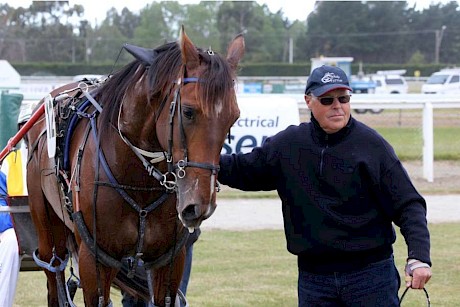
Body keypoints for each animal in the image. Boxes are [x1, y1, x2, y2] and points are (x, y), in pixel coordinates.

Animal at [25, 27, 244, 307]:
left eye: (234, 117)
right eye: (188, 111)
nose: (199, 205)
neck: (137, 179)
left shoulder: (169, 260)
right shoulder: (95, 259)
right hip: (46, 225)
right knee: (54, 270)